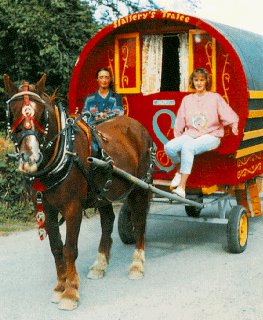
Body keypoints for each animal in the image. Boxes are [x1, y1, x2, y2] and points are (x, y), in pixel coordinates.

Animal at [3, 74, 154, 310]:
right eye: (12, 112)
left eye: (42, 114)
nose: (30, 157)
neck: (64, 152)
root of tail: (137, 126)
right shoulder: (46, 209)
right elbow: (56, 247)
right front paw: (59, 286)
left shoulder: (72, 207)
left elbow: (70, 249)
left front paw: (71, 292)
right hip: (103, 192)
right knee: (108, 221)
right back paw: (100, 264)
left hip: (140, 186)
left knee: (139, 221)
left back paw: (137, 264)